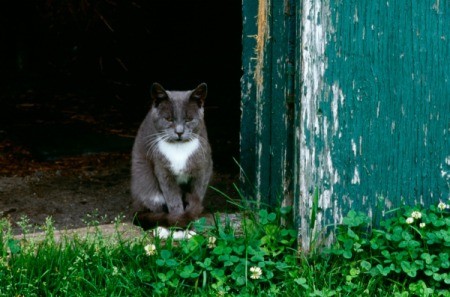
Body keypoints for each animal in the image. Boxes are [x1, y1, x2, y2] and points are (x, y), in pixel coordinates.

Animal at [131, 82, 214, 232]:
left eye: (189, 119)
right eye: (168, 119)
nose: (179, 132)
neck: (179, 149)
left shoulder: (203, 169)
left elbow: (197, 195)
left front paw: (192, 221)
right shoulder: (163, 171)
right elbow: (173, 200)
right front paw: (179, 224)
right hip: (146, 181)